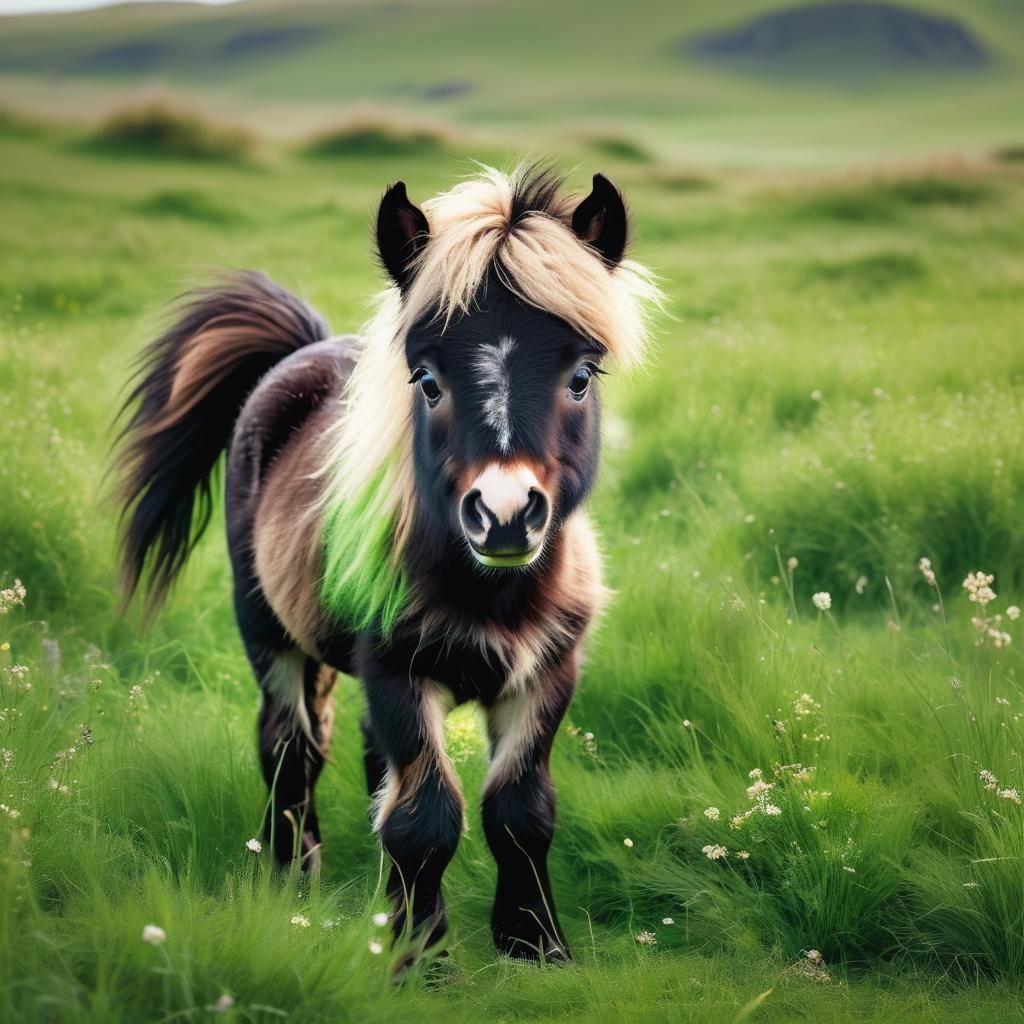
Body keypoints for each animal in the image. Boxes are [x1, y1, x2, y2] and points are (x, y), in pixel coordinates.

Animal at [114, 164, 659, 967]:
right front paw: (421, 960)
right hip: (269, 630)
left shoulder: (548, 672)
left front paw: (533, 944)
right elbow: (425, 817)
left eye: (582, 376)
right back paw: (292, 880)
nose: (503, 513)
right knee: (290, 749)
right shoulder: (398, 671)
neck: (489, 592)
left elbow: (519, 810)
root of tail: (303, 349)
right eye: (427, 380)